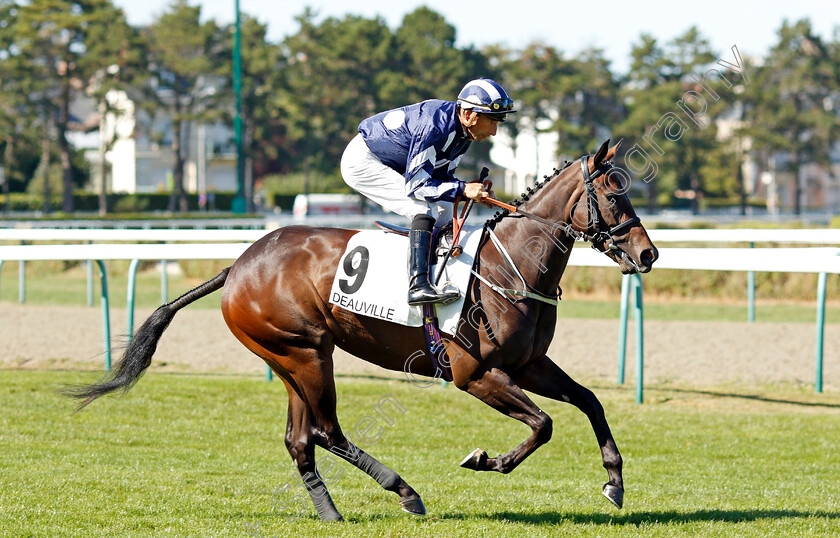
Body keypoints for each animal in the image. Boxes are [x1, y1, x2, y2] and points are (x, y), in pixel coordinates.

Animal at [65, 138, 656, 520]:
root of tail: (237, 265)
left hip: (290, 358)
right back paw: (405, 492)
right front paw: (488, 459)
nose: (648, 253)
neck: (509, 267)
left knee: (299, 438)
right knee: (326, 431)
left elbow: (589, 402)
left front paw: (614, 481)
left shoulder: (528, 364)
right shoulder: (473, 373)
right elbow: (543, 424)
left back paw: (330, 512)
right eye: (613, 196)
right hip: (306, 353)